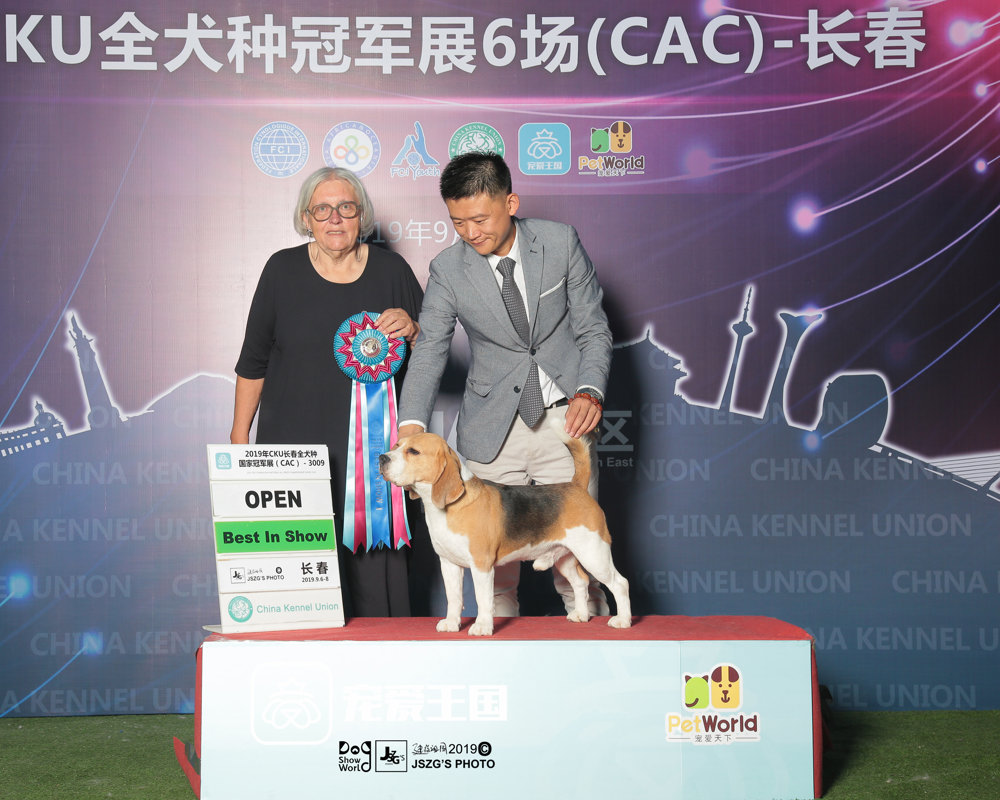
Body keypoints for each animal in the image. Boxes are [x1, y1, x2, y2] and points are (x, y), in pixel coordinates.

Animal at [379, 423, 631, 636]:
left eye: (413, 452)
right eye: (397, 446)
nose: (381, 458)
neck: (451, 506)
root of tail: (576, 486)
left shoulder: (481, 565)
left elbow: (482, 599)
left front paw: (482, 627)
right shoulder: (449, 564)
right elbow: (454, 597)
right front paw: (451, 623)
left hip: (594, 553)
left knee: (620, 583)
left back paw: (623, 621)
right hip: (566, 557)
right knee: (580, 582)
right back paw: (581, 615)